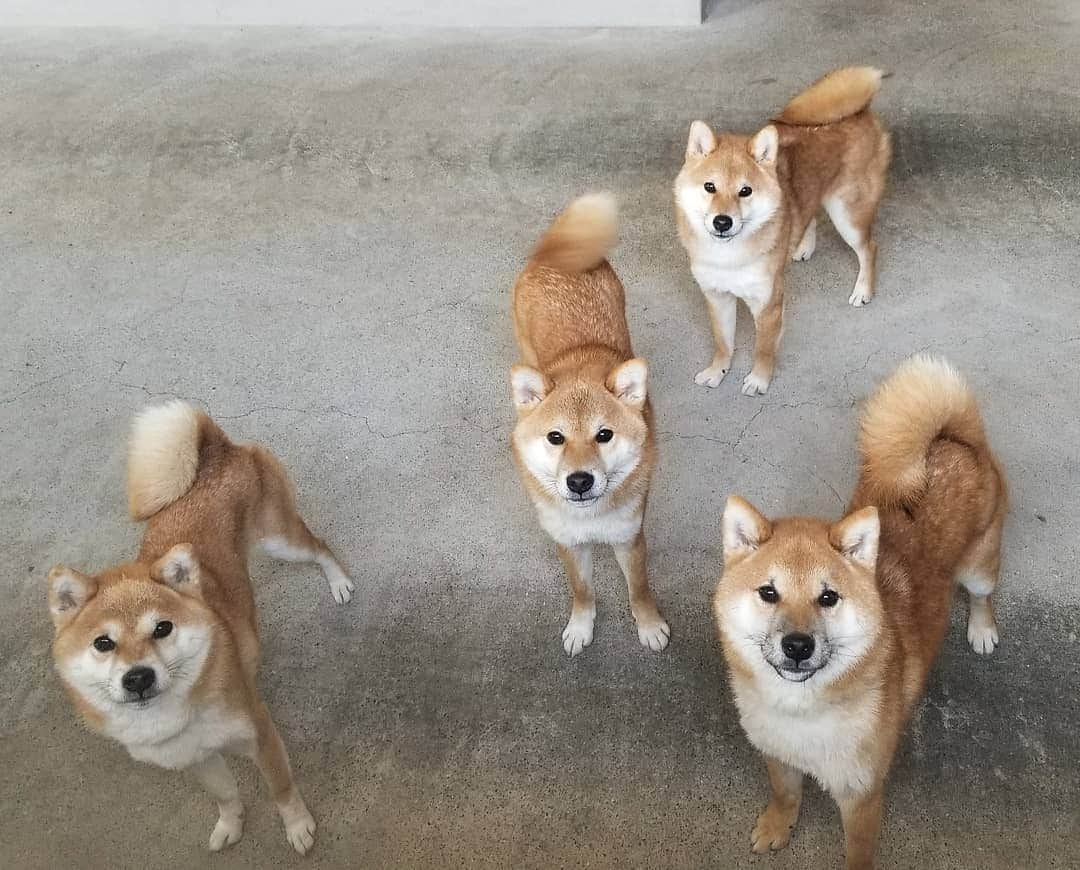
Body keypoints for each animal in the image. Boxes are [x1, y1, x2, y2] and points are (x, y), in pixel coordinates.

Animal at [47, 405, 354, 854]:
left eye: (163, 628)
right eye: (103, 643)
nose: (138, 677)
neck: (174, 712)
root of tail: (215, 451)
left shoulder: (260, 734)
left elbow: (281, 790)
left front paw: (298, 827)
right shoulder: (196, 758)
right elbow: (225, 794)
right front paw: (231, 824)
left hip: (281, 541)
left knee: (321, 548)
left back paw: (339, 582)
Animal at [505, 194, 665, 656]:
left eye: (604, 435)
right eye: (555, 438)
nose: (578, 480)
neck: (590, 518)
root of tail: (550, 256)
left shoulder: (629, 537)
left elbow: (639, 589)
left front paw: (649, 625)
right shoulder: (568, 543)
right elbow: (583, 591)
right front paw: (581, 626)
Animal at [673, 66, 894, 397]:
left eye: (745, 191)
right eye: (709, 187)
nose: (722, 221)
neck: (729, 257)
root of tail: (861, 110)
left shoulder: (768, 304)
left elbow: (763, 349)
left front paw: (758, 380)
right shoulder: (717, 296)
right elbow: (723, 343)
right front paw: (717, 371)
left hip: (847, 215)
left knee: (869, 248)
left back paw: (863, 290)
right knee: (809, 212)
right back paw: (802, 246)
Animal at [717, 358, 1002, 867]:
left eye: (828, 598)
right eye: (768, 593)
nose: (797, 645)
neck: (802, 714)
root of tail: (953, 440)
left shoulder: (861, 794)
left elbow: (858, 852)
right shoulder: (777, 755)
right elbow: (785, 794)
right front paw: (777, 825)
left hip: (979, 567)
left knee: (982, 593)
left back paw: (982, 628)